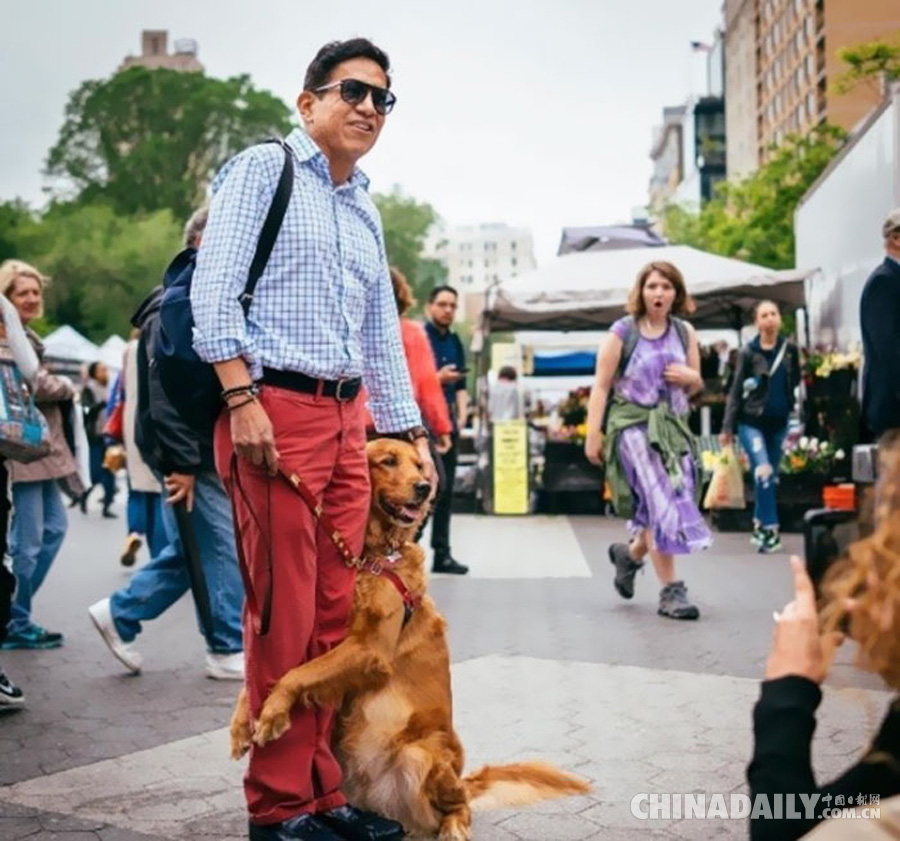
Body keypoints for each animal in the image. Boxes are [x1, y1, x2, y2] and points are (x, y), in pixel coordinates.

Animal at [230, 436, 592, 836]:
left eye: (419, 465)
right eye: (388, 461)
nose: (423, 488)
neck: (376, 556)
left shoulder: (368, 648)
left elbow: (297, 674)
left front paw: (272, 714)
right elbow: (269, 674)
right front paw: (242, 723)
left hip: (421, 753)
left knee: (461, 807)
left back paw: (451, 830)